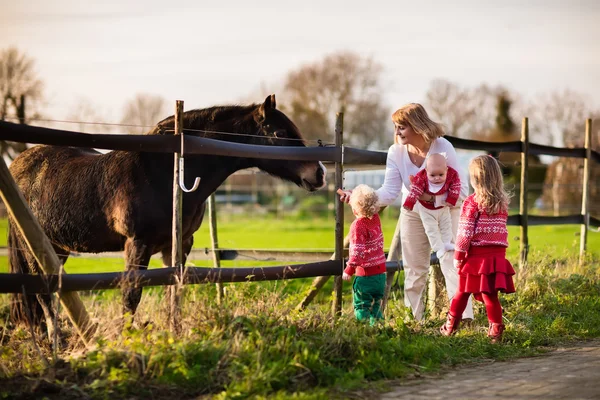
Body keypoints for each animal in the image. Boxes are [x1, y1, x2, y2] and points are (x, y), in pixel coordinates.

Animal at [9, 95, 326, 330]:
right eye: (281, 133)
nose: (320, 173)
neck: (165, 170)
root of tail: (18, 165)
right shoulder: (138, 243)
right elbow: (131, 295)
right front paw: (127, 339)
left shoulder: (178, 243)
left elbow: (174, 287)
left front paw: (174, 330)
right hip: (33, 247)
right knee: (44, 295)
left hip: (57, 247)